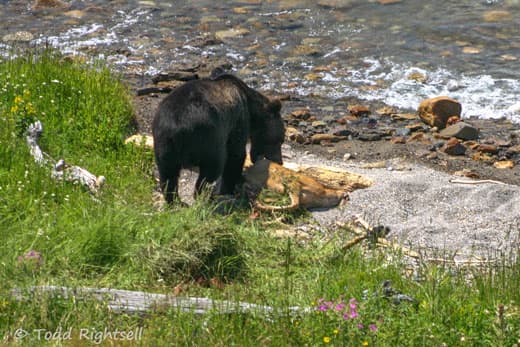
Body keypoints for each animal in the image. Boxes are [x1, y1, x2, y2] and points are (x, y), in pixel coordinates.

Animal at [152, 73, 286, 204]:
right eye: (280, 140)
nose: (279, 161)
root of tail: (177, 127)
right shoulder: (237, 120)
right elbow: (235, 155)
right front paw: (229, 188)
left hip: (164, 143)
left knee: (168, 174)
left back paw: (176, 201)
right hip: (208, 136)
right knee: (212, 168)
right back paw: (205, 196)